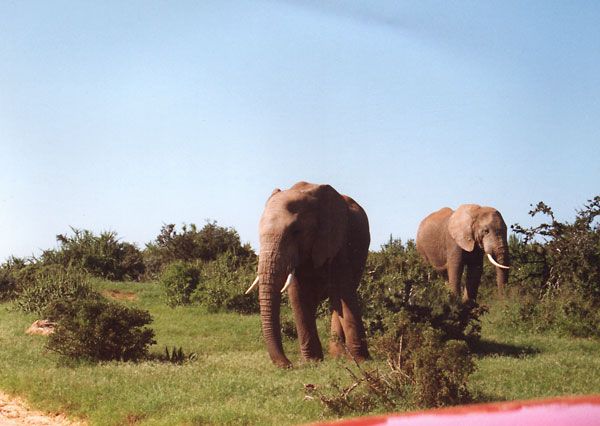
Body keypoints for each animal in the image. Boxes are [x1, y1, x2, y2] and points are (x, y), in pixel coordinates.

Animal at [245, 181, 370, 368]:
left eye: (296, 231)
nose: (288, 365)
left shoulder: (338, 240)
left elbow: (343, 291)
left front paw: (361, 361)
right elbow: (298, 295)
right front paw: (312, 361)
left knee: (338, 298)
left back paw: (341, 356)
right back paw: (336, 355)